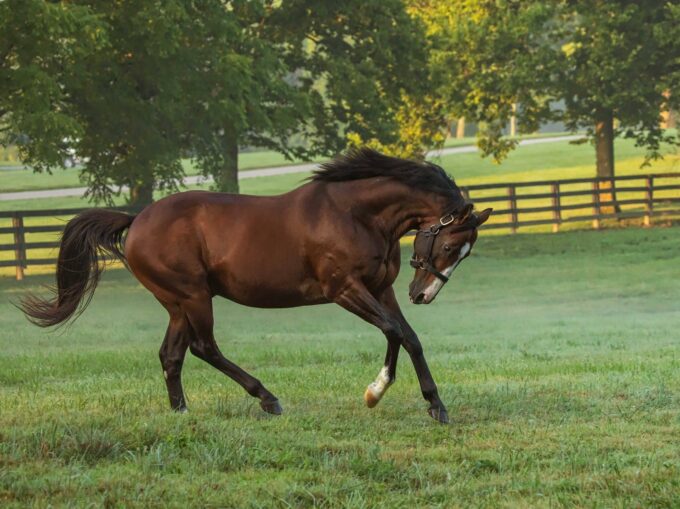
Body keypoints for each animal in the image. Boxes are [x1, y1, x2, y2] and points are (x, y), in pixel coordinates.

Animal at [21, 149, 488, 422]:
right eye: (450, 244)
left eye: (465, 253)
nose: (423, 294)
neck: (357, 214)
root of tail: (136, 221)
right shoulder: (343, 290)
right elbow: (395, 332)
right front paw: (389, 394)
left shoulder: (381, 288)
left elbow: (407, 336)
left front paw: (415, 399)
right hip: (193, 296)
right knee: (203, 348)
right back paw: (266, 398)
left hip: (176, 303)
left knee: (172, 355)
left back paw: (181, 411)